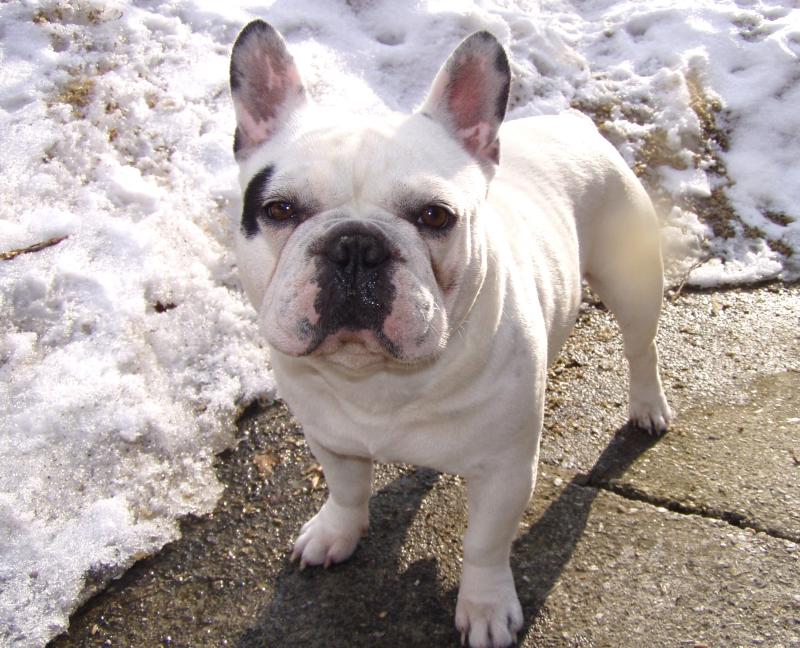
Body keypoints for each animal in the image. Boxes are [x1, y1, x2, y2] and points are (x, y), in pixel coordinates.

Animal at [229, 20, 671, 648]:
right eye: (280, 209)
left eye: (435, 216)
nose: (356, 243)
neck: (377, 380)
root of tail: (573, 122)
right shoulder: (330, 437)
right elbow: (345, 489)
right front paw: (337, 531)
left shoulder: (506, 472)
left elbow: (485, 544)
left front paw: (485, 607)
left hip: (631, 278)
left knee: (641, 347)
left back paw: (648, 405)